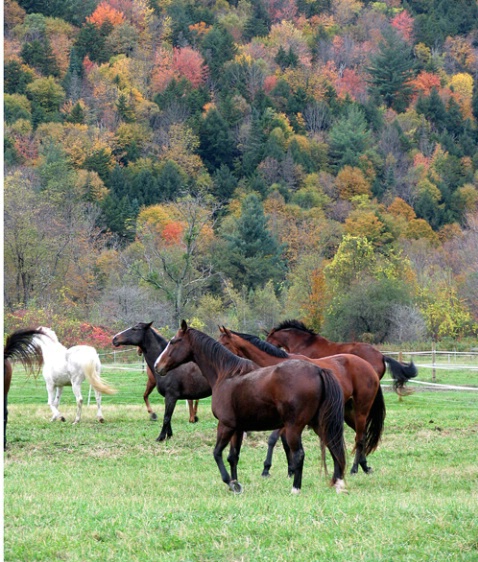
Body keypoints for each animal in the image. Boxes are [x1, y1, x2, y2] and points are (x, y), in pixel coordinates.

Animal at [156, 322, 348, 492]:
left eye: (174, 341)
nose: (158, 366)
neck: (226, 374)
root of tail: (318, 370)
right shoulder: (238, 428)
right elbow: (233, 457)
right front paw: (236, 483)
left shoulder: (225, 425)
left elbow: (217, 453)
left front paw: (230, 483)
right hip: (319, 423)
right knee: (333, 446)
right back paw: (338, 483)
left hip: (294, 427)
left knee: (299, 454)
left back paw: (296, 488)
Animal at [218, 326, 384, 474]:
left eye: (224, 343)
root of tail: (369, 367)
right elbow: (285, 442)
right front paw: (290, 469)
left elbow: (273, 439)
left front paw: (268, 468)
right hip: (349, 412)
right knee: (362, 435)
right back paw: (364, 465)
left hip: (361, 410)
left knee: (360, 438)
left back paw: (354, 468)